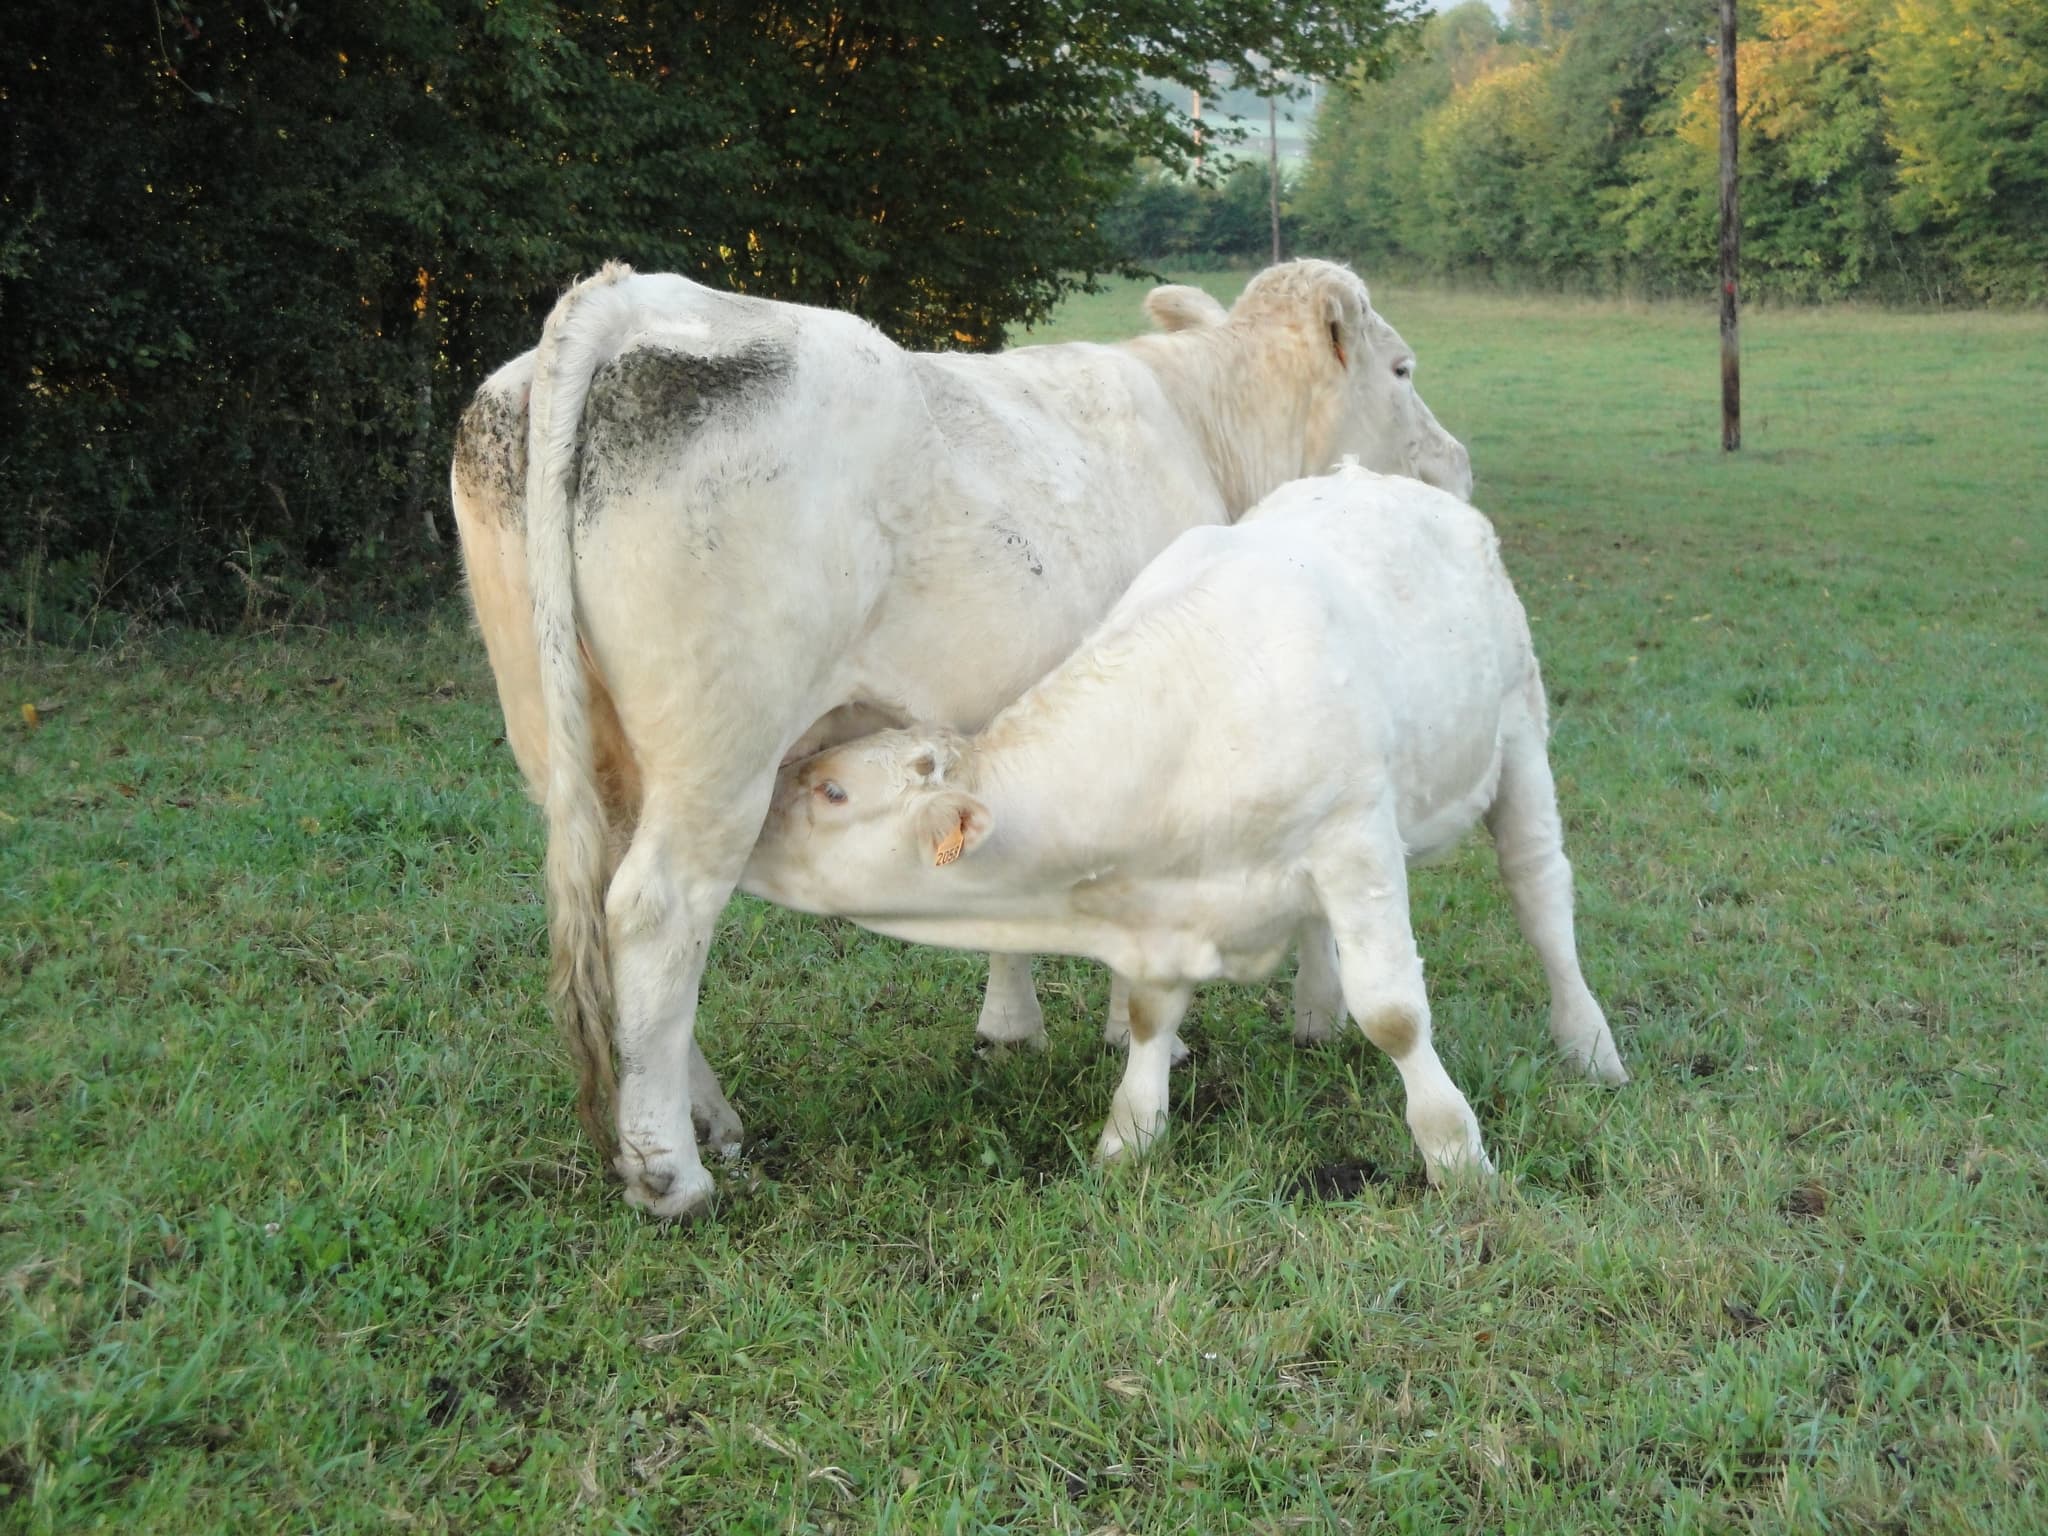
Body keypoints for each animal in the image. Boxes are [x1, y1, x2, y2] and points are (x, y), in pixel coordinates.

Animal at [451, 260, 1472, 1217]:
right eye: (1402, 367)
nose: (1456, 467)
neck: (1205, 424)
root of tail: (631, 297)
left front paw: (1011, 1028)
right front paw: (1156, 1029)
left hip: (573, 747)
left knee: (611, 908)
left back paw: (705, 1120)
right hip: (719, 747)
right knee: (658, 910)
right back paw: (674, 1172)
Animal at [743, 466, 1629, 1182]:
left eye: (832, 791)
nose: (744, 836)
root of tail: (1380, 476)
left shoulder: (1355, 841)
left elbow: (1395, 1012)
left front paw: (1454, 1151)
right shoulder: (1161, 900)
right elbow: (1148, 1014)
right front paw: (1129, 1136)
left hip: (1519, 730)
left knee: (1540, 893)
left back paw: (1589, 1045)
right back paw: (1316, 1014)